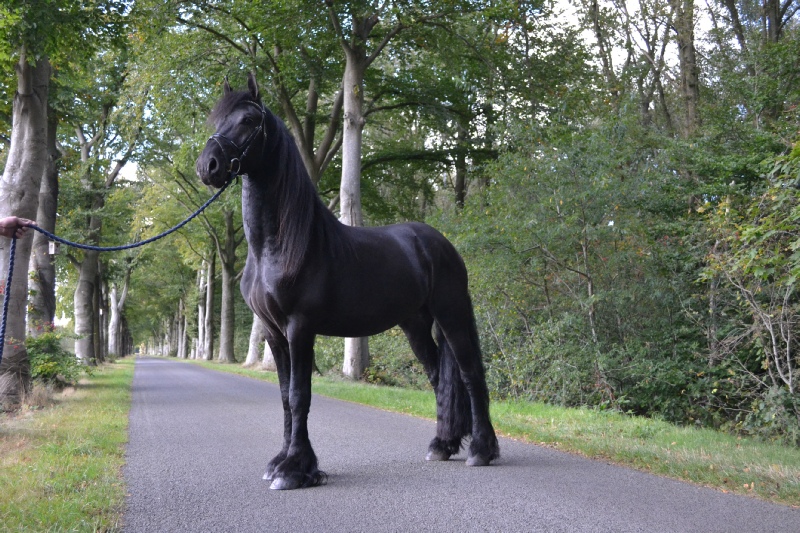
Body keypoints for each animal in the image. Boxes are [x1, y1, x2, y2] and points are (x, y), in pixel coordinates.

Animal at [195, 73, 499, 490]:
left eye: (247, 120)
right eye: (217, 121)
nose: (207, 166)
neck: (279, 246)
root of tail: (439, 243)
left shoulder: (300, 327)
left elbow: (299, 395)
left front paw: (294, 469)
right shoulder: (273, 331)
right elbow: (284, 396)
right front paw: (285, 463)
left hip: (451, 314)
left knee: (470, 375)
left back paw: (483, 450)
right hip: (415, 324)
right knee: (439, 378)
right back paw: (442, 444)